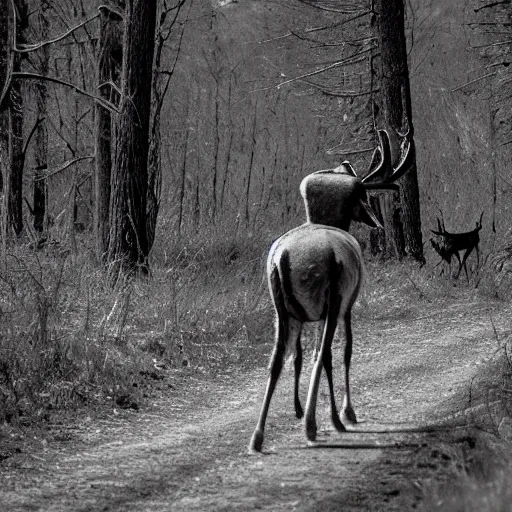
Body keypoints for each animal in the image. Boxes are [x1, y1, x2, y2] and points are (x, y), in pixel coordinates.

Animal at [249, 129, 416, 452]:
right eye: (364, 196)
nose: (375, 222)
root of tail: (283, 257)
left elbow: (307, 354)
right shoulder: (348, 304)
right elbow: (346, 351)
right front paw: (349, 411)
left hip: (283, 309)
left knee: (276, 360)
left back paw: (258, 436)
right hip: (332, 295)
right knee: (324, 353)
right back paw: (319, 423)